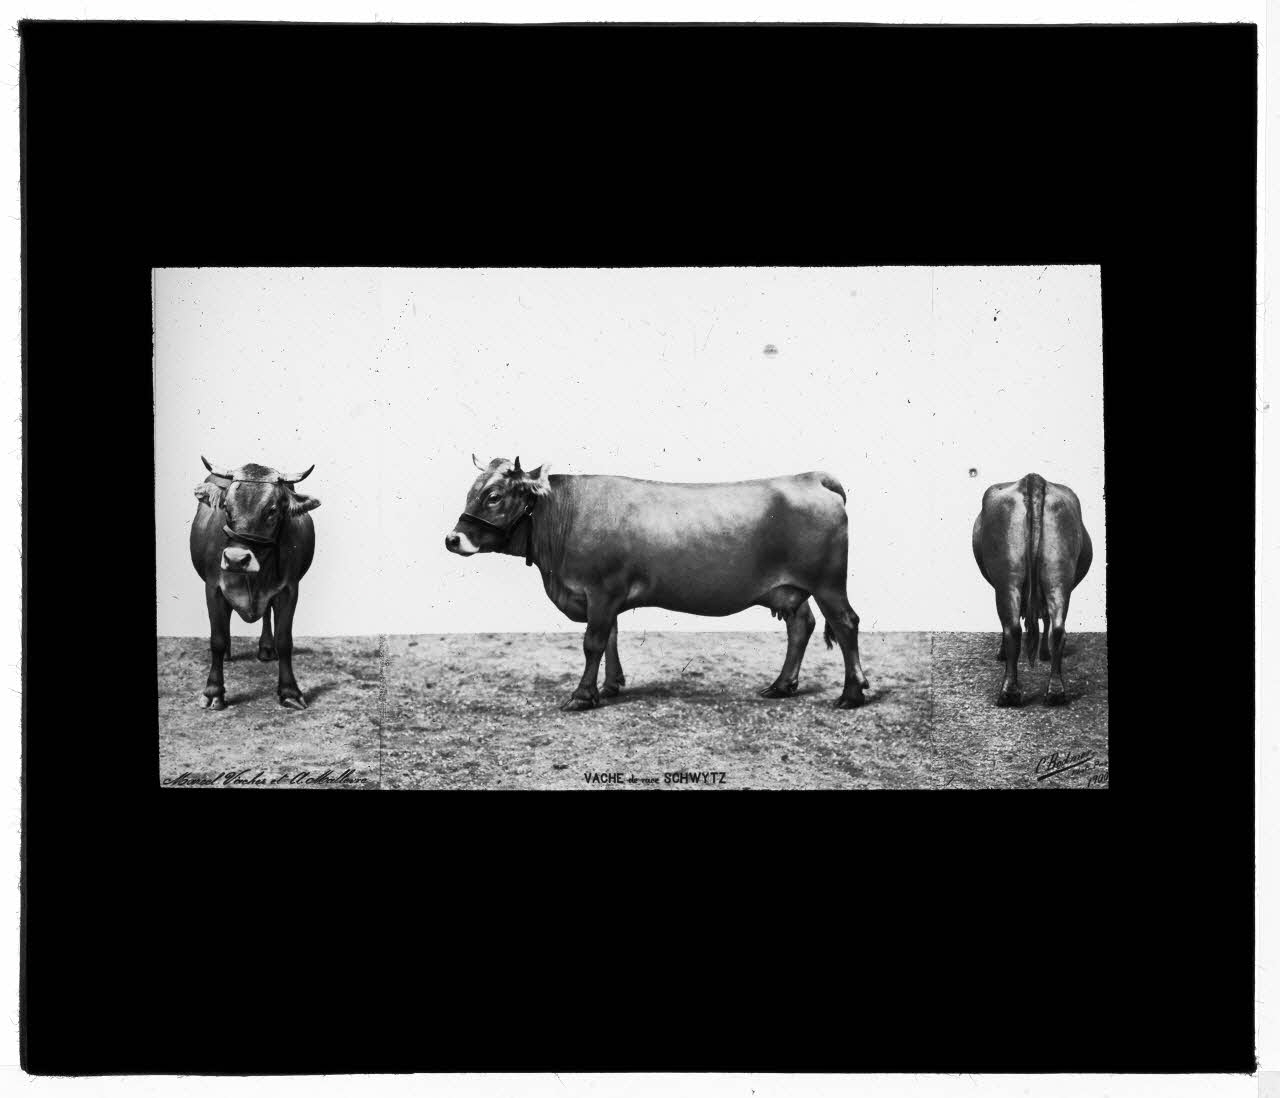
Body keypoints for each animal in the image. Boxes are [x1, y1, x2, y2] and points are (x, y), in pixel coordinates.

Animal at [190, 457, 321, 710]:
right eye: (226, 507)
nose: (235, 559)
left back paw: (267, 649)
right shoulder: (213, 588)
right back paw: (229, 652)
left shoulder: (289, 590)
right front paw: (213, 692)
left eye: (272, 511)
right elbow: (216, 639)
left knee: (267, 615)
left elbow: (285, 640)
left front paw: (289, 691)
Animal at [445, 456, 870, 711]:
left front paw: (582, 695)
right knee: (802, 626)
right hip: (791, 590)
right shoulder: (604, 597)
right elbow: (611, 636)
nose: (452, 539)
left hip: (828, 583)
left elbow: (593, 642)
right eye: (471, 492)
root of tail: (811, 477)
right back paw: (781, 686)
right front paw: (612, 685)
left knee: (846, 623)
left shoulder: (601, 589)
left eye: (494, 496)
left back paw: (851, 693)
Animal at [971, 472, 1093, 706]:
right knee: (1057, 629)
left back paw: (1009, 694)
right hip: (1058, 573)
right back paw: (1055, 692)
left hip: (1007, 578)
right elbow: (1045, 620)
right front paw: (1044, 653)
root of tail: (1033, 479)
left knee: (1012, 630)